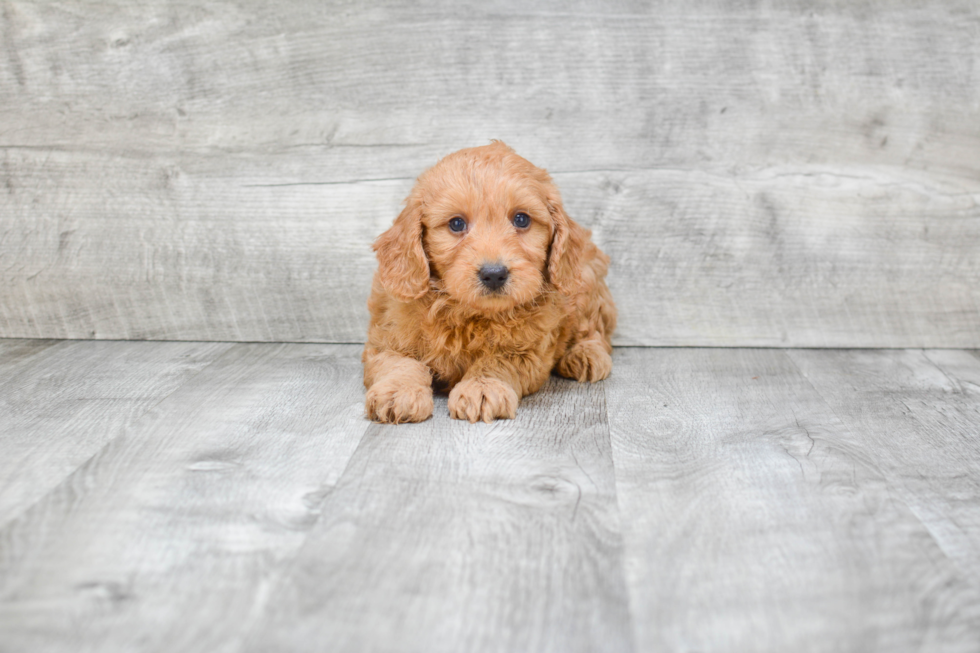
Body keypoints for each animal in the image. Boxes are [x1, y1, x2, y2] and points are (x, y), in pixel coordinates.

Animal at [364, 141, 616, 422]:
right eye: (456, 224)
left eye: (521, 219)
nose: (494, 273)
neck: (470, 314)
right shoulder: (385, 337)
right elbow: (399, 362)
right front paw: (397, 391)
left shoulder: (527, 351)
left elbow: (496, 361)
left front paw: (482, 388)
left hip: (586, 281)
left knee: (594, 331)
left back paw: (585, 354)